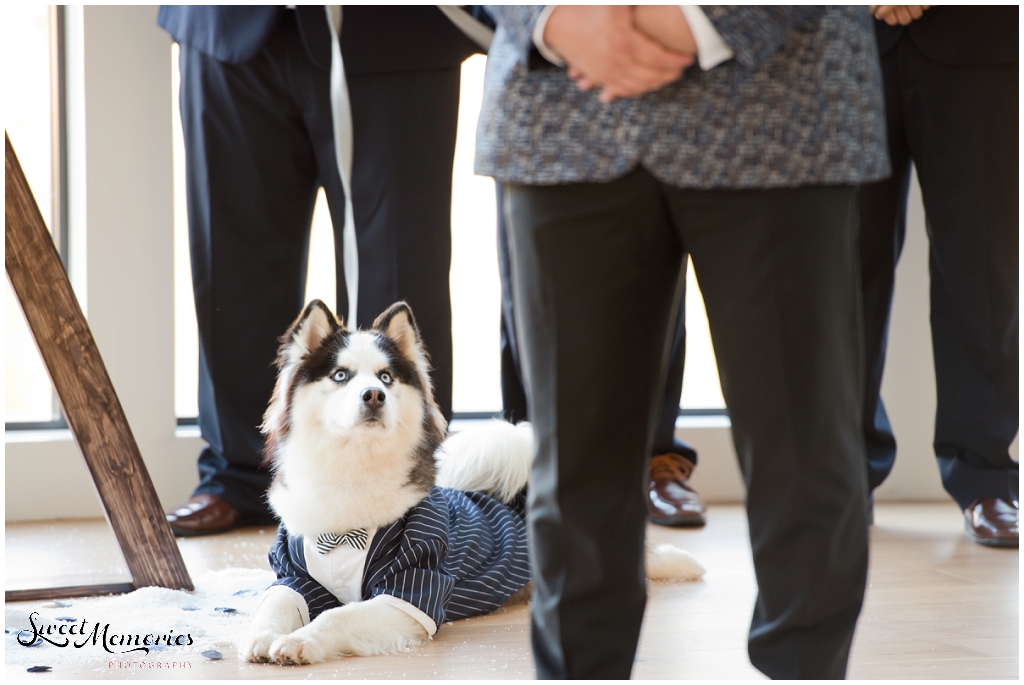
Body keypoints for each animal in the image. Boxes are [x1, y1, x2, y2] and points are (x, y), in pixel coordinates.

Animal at [240, 298, 704, 663]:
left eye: (386, 377)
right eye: (340, 376)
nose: (374, 395)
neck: (351, 473)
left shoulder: (413, 586)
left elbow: (341, 614)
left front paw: (300, 642)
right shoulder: (294, 573)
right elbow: (275, 602)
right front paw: (262, 636)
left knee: (639, 559)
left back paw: (685, 563)